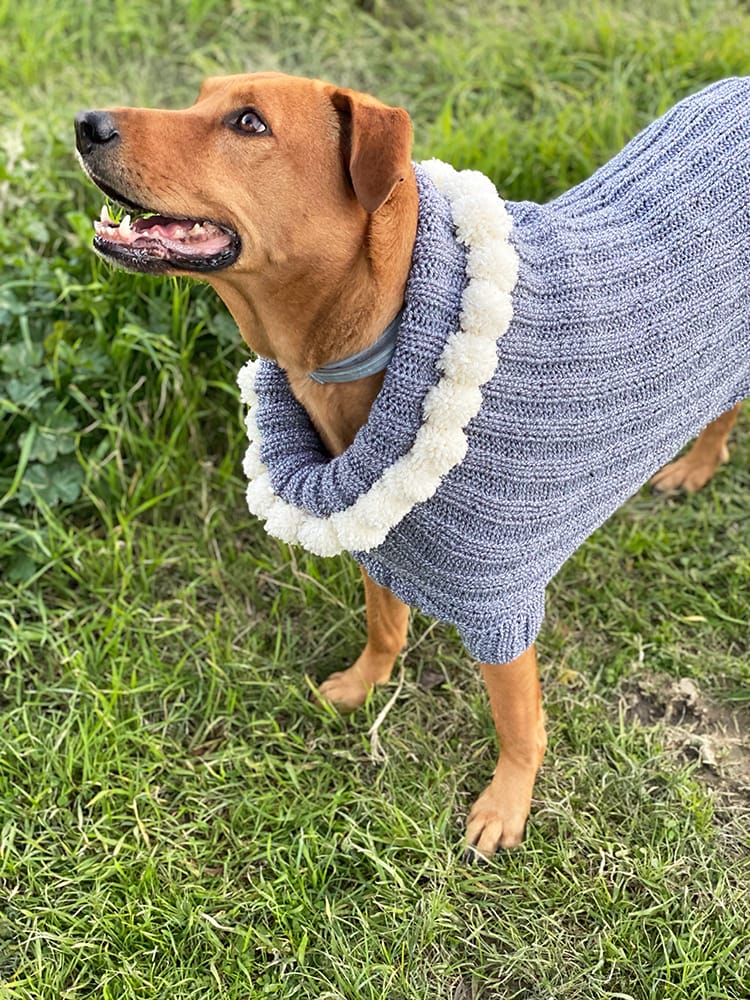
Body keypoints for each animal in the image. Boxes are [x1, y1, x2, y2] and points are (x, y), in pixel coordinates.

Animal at [75, 72, 748, 860]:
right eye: (200, 94)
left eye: (249, 123)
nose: (86, 123)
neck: (395, 325)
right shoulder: (377, 543)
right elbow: (384, 627)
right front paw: (363, 685)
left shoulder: (499, 604)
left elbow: (520, 722)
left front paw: (506, 804)